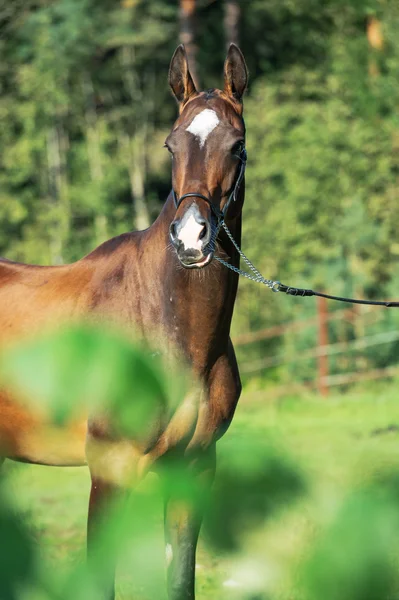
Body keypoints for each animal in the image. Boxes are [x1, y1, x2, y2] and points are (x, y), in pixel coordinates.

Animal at [0, 43, 248, 600]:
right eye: (171, 145)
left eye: (237, 147)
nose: (192, 238)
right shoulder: (110, 470)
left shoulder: (195, 468)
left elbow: (181, 580)